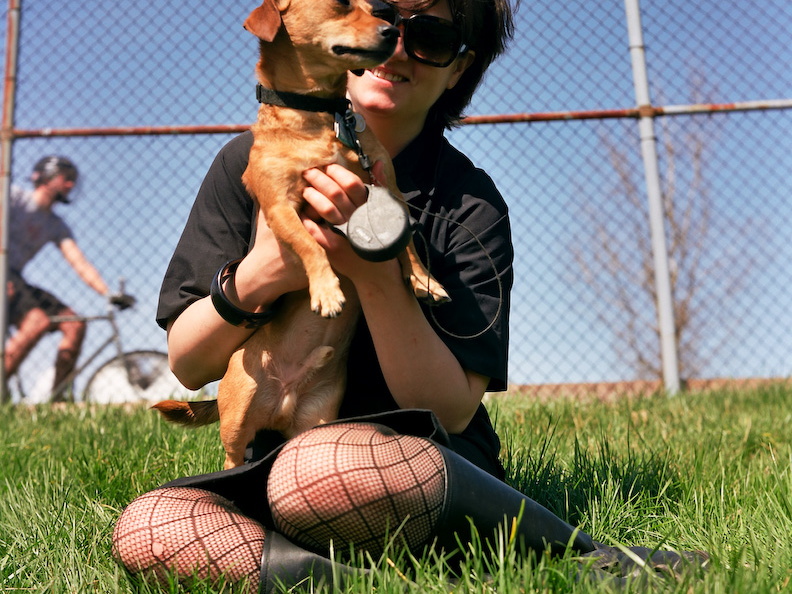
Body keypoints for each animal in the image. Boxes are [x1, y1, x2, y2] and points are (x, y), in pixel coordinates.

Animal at [153, 0, 446, 468]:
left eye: (378, 9)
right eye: (342, 5)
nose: (391, 33)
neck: (323, 118)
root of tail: (285, 397)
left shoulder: (389, 189)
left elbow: (410, 244)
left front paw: (425, 281)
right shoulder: (282, 208)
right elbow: (310, 246)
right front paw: (326, 290)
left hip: (316, 421)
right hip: (237, 419)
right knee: (233, 455)